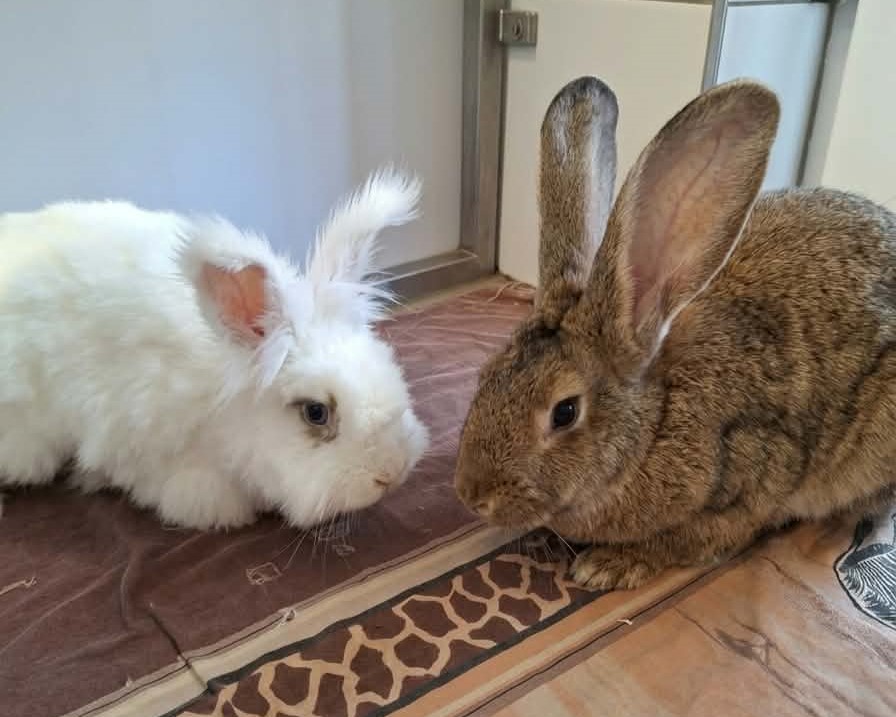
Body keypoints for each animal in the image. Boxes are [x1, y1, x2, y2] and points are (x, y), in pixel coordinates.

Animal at [454, 75, 896, 590]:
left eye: (564, 412)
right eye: (486, 376)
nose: (471, 495)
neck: (655, 423)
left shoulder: (748, 483)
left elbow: (694, 538)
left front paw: (610, 565)